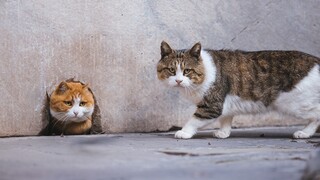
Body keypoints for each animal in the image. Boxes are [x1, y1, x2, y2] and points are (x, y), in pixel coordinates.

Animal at [158, 41, 320, 139]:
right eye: (171, 70)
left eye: (187, 71)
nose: (178, 80)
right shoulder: (225, 104)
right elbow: (226, 118)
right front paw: (223, 132)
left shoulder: (211, 106)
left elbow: (194, 120)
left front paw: (184, 132)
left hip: (297, 104)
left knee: (316, 115)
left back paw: (304, 133)